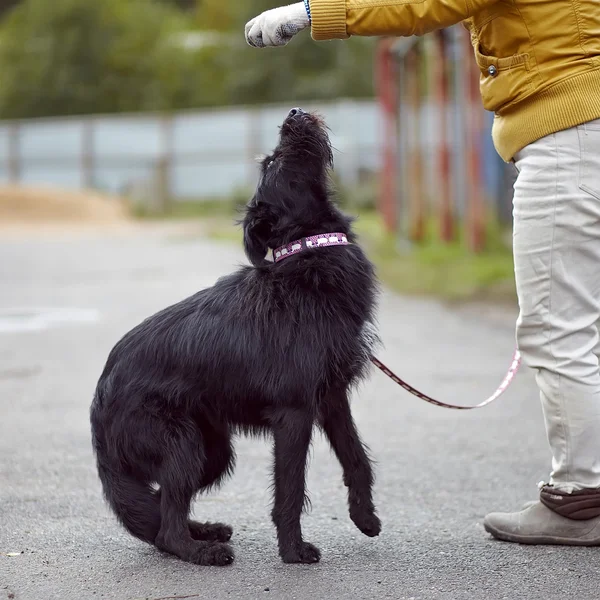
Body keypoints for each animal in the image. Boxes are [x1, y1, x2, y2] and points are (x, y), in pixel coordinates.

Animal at [90, 109, 380, 568]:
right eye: (274, 163)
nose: (293, 113)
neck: (307, 252)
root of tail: (99, 400)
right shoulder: (295, 412)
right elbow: (290, 488)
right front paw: (293, 552)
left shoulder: (332, 397)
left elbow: (356, 457)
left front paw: (364, 516)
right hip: (182, 445)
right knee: (166, 526)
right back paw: (202, 551)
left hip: (212, 450)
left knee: (162, 511)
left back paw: (204, 531)